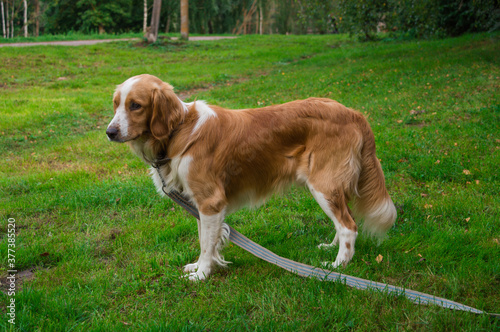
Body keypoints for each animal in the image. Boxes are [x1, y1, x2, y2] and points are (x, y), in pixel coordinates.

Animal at [107, 74, 396, 280]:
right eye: (116, 104)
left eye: (136, 106)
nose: (110, 132)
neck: (179, 131)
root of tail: (353, 113)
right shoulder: (198, 203)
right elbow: (205, 240)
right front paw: (200, 266)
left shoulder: (210, 202)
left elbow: (206, 243)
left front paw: (202, 274)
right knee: (345, 220)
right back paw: (330, 248)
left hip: (323, 185)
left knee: (348, 226)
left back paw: (337, 266)